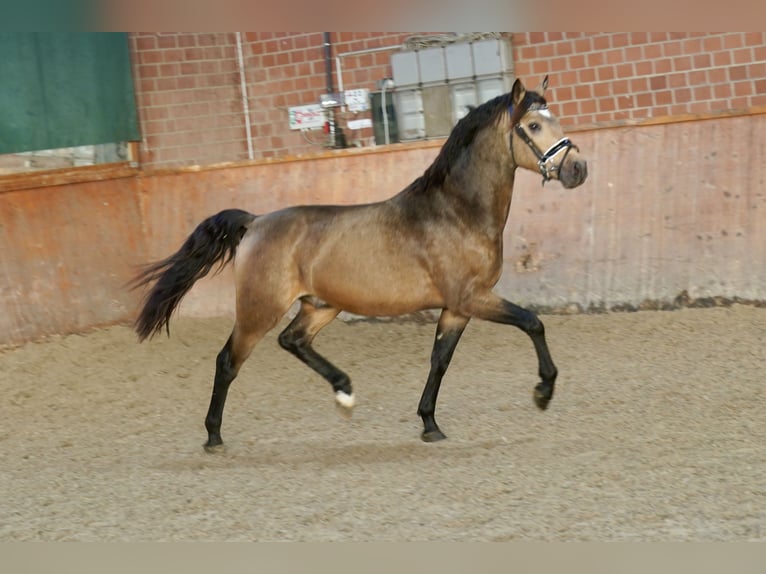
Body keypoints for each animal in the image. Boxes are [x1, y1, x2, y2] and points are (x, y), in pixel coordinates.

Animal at [130, 75, 588, 450]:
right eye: (533, 126)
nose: (578, 169)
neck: (456, 212)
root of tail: (255, 222)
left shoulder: (457, 308)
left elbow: (439, 361)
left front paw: (429, 424)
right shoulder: (473, 297)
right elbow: (533, 322)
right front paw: (543, 392)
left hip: (320, 305)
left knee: (293, 341)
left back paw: (344, 392)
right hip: (260, 309)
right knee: (229, 360)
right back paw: (214, 436)